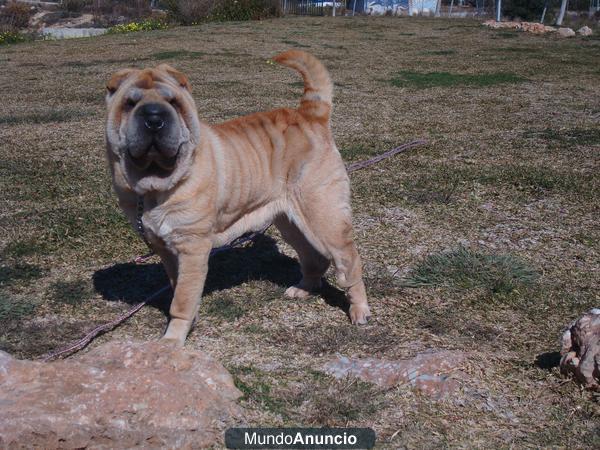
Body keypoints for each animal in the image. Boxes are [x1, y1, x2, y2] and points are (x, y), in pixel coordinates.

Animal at [105, 50, 372, 344]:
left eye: (173, 102)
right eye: (130, 103)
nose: (153, 118)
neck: (154, 188)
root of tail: (310, 114)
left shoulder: (192, 248)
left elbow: (182, 300)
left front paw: (172, 340)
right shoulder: (166, 250)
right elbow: (179, 288)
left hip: (324, 216)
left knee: (349, 261)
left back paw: (359, 310)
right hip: (290, 222)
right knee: (314, 257)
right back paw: (303, 289)